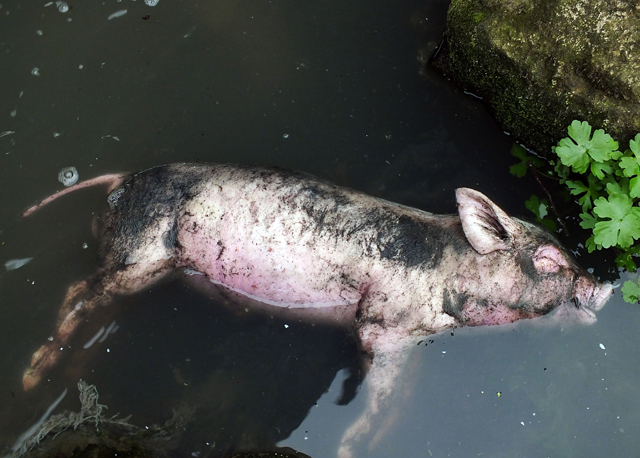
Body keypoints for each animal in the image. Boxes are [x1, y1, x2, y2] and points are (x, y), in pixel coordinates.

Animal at [18, 164, 608, 458]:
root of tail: (119, 181)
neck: (450, 277)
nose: (601, 287)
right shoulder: (383, 324)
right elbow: (377, 391)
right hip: (143, 254)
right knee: (79, 291)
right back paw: (29, 380)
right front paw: (347, 448)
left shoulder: (416, 338)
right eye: (550, 260)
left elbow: (402, 398)